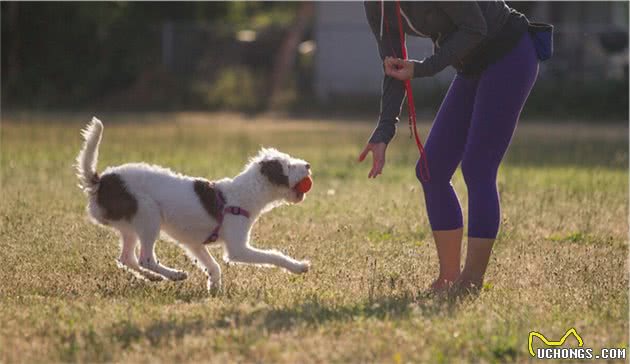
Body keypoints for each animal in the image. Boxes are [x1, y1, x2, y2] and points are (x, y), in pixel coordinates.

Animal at [76, 118, 314, 292]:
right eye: (289, 166)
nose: (308, 165)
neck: (241, 194)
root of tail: (100, 182)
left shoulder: (195, 244)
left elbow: (213, 266)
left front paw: (214, 288)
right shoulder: (237, 249)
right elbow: (273, 255)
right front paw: (298, 267)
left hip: (130, 226)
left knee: (127, 258)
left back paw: (153, 278)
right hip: (148, 214)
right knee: (145, 258)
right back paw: (174, 275)